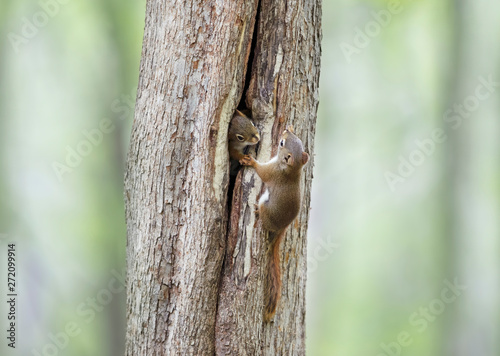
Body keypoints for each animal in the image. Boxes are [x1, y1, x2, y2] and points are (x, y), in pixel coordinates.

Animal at [238, 126, 308, 322]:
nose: (285, 130)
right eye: (297, 139)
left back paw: (256, 211)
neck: (292, 170)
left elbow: (262, 172)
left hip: (266, 208)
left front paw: (251, 161)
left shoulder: (272, 172)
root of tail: (282, 228)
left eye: (282, 143)